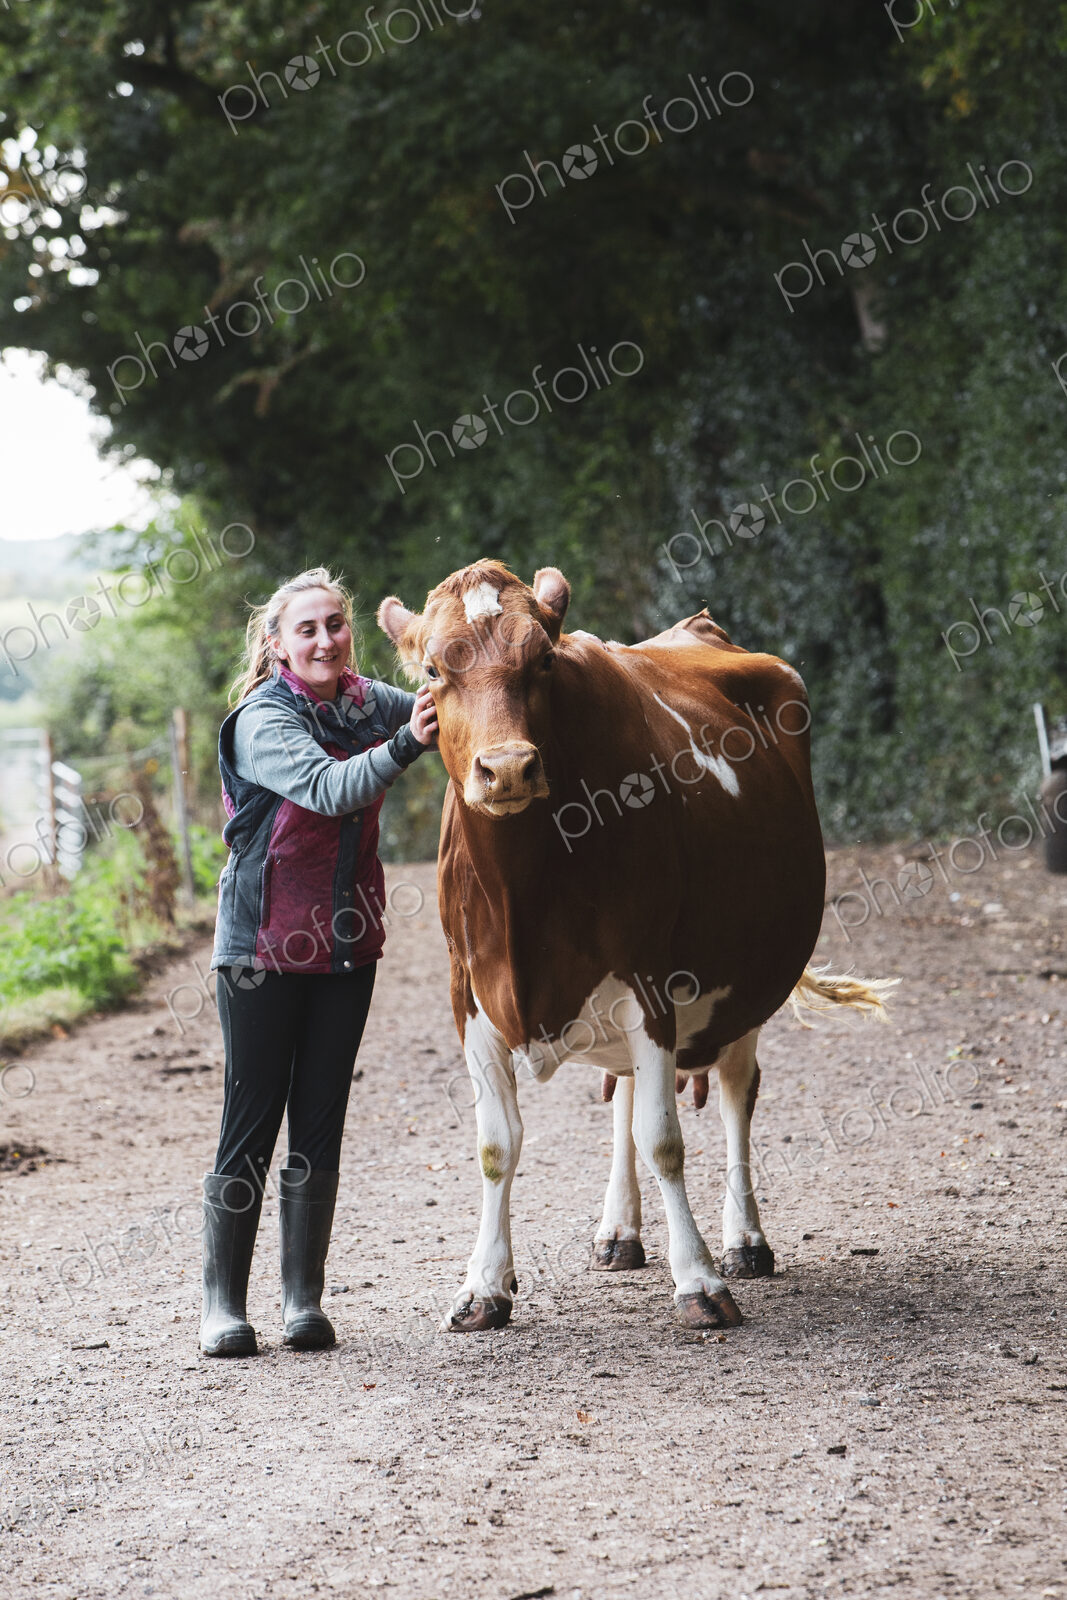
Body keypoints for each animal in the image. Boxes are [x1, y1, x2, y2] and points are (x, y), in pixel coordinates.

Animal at [378, 560, 891, 1333]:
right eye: (434, 669)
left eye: (543, 661)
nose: (508, 769)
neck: (524, 896)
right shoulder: (468, 993)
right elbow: (497, 1145)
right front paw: (483, 1286)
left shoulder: (651, 982)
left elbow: (664, 1139)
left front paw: (700, 1281)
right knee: (623, 1090)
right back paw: (619, 1230)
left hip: (746, 982)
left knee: (737, 1091)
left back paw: (745, 1239)